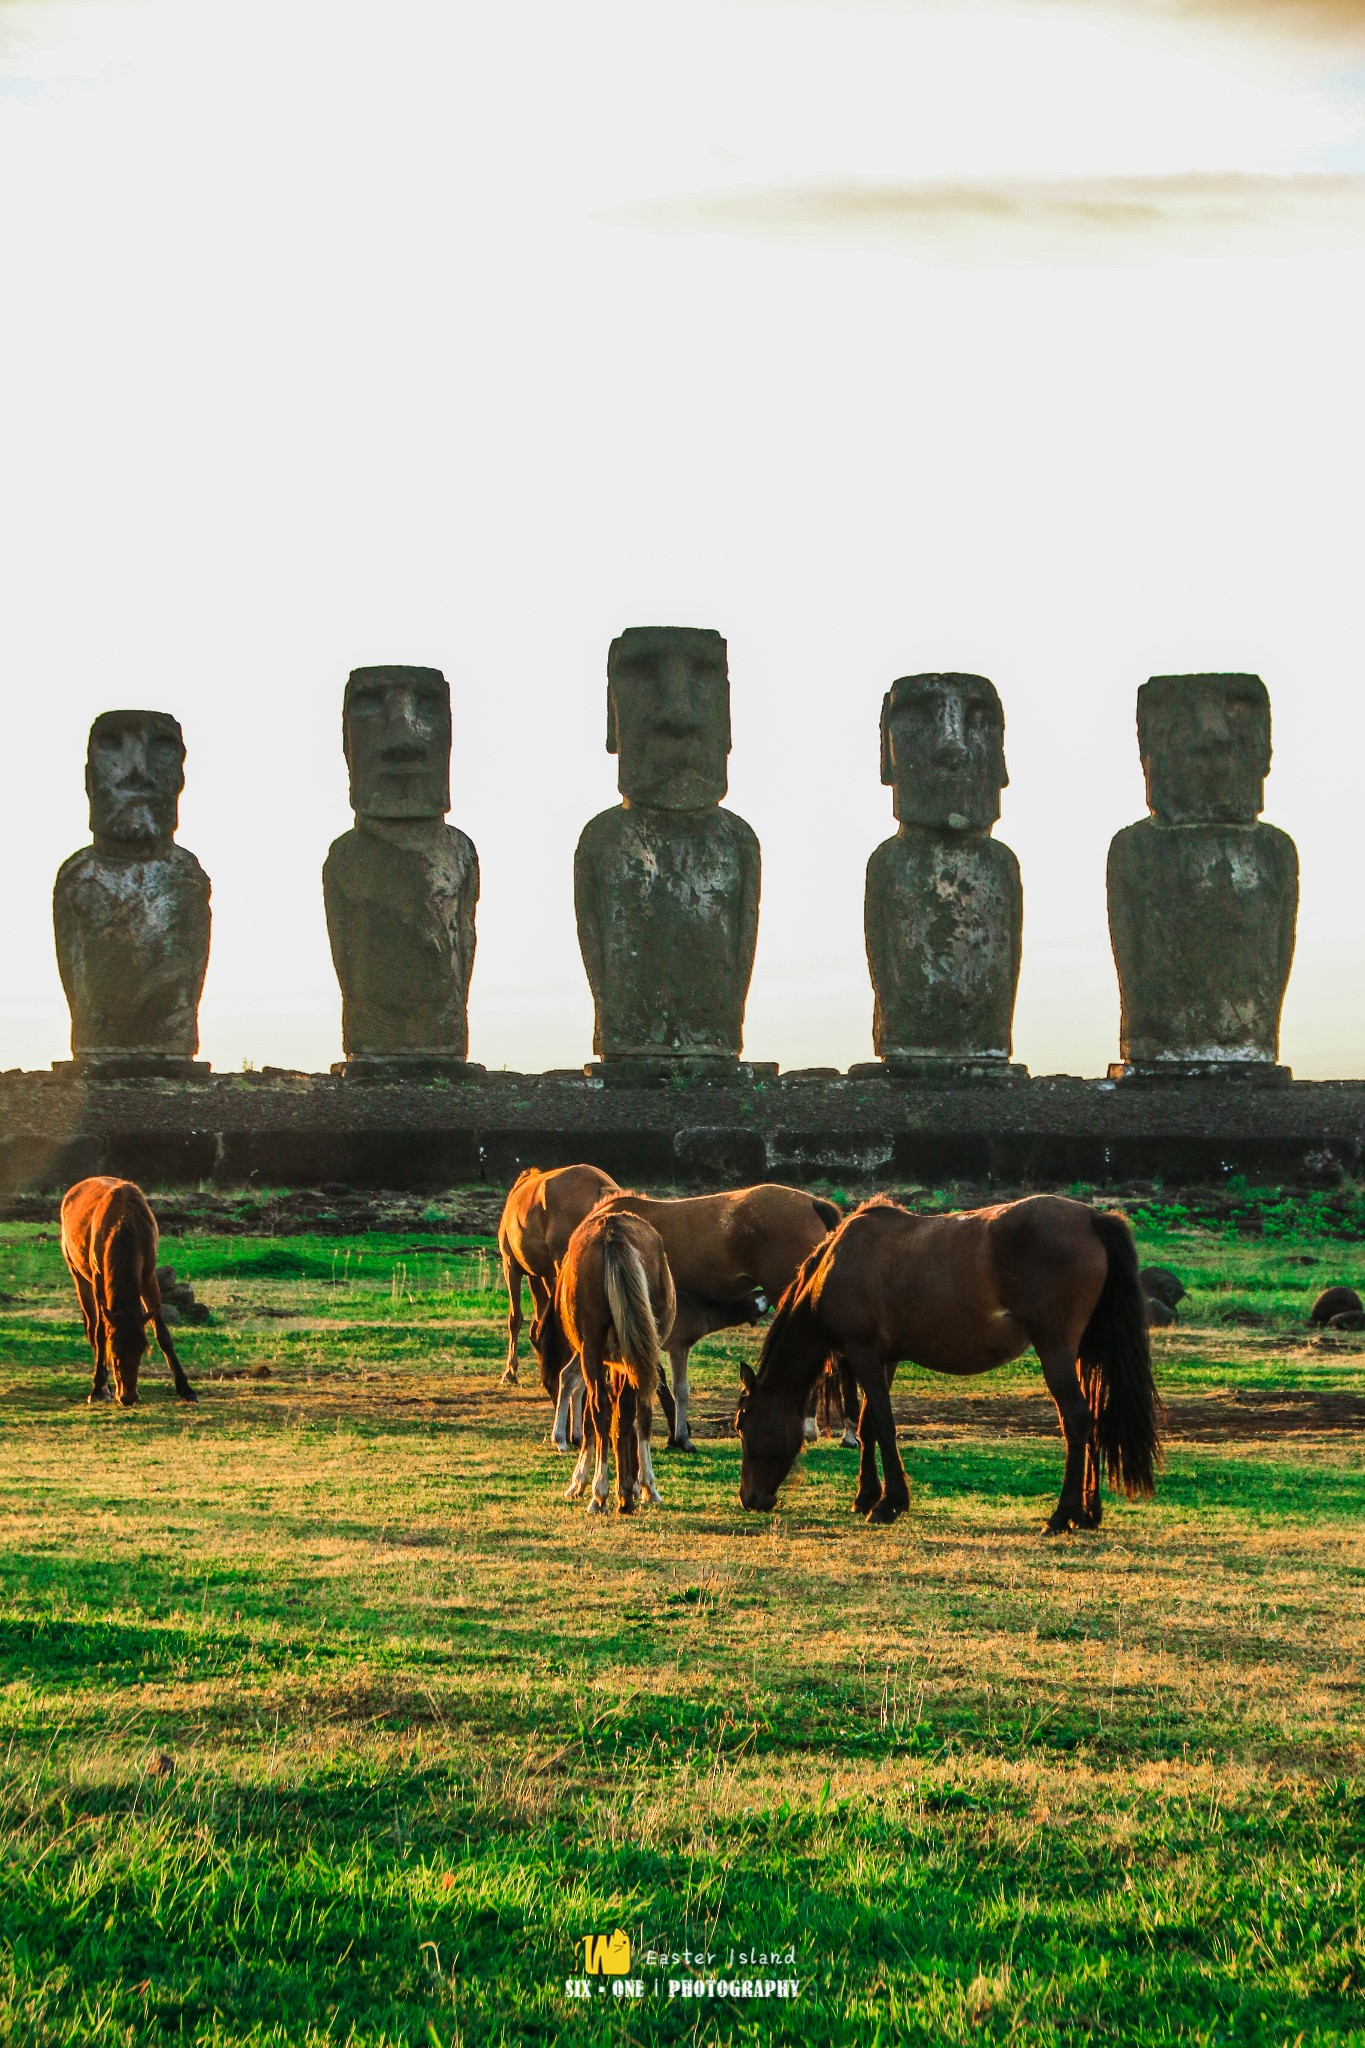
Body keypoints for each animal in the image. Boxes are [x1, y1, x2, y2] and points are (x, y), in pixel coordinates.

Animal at [59, 1187, 197, 1409]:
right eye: (114, 1352)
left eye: (142, 1351)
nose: (128, 1397)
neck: (124, 1223)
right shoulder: (99, 1278)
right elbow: (100, 1333)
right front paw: (98, 1389)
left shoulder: (148, 1276)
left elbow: (163, 1334)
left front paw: (186, 1389)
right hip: (78, 1275)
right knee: (91, 1327)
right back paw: (104, 1385)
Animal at [556, 1204, 679, 1515]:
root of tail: (613, 1232)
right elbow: (626, 1414)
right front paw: (636, 1486)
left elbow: (598, 1416)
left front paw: (583, 1481)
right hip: (630, 1352)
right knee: (627, 1409)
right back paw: (620, 1493)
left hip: (595, 1350)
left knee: (601, 1407)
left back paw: (601, 1494)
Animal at [740, 1196, 1162, 1531]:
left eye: (743, 1425)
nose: (749, 1498)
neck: (837, 1265)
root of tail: (1092, 1217)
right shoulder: (884, 1359)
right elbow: (868, 1424)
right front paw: (866, 1496)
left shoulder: (864, 1354)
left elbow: (883, 1425)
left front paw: (889, 1503)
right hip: (1081, 1355)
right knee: (1091, 1419)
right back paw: (1088, 1513)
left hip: (1055, 1350)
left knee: (1075, 1419)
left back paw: (1062, 1515)